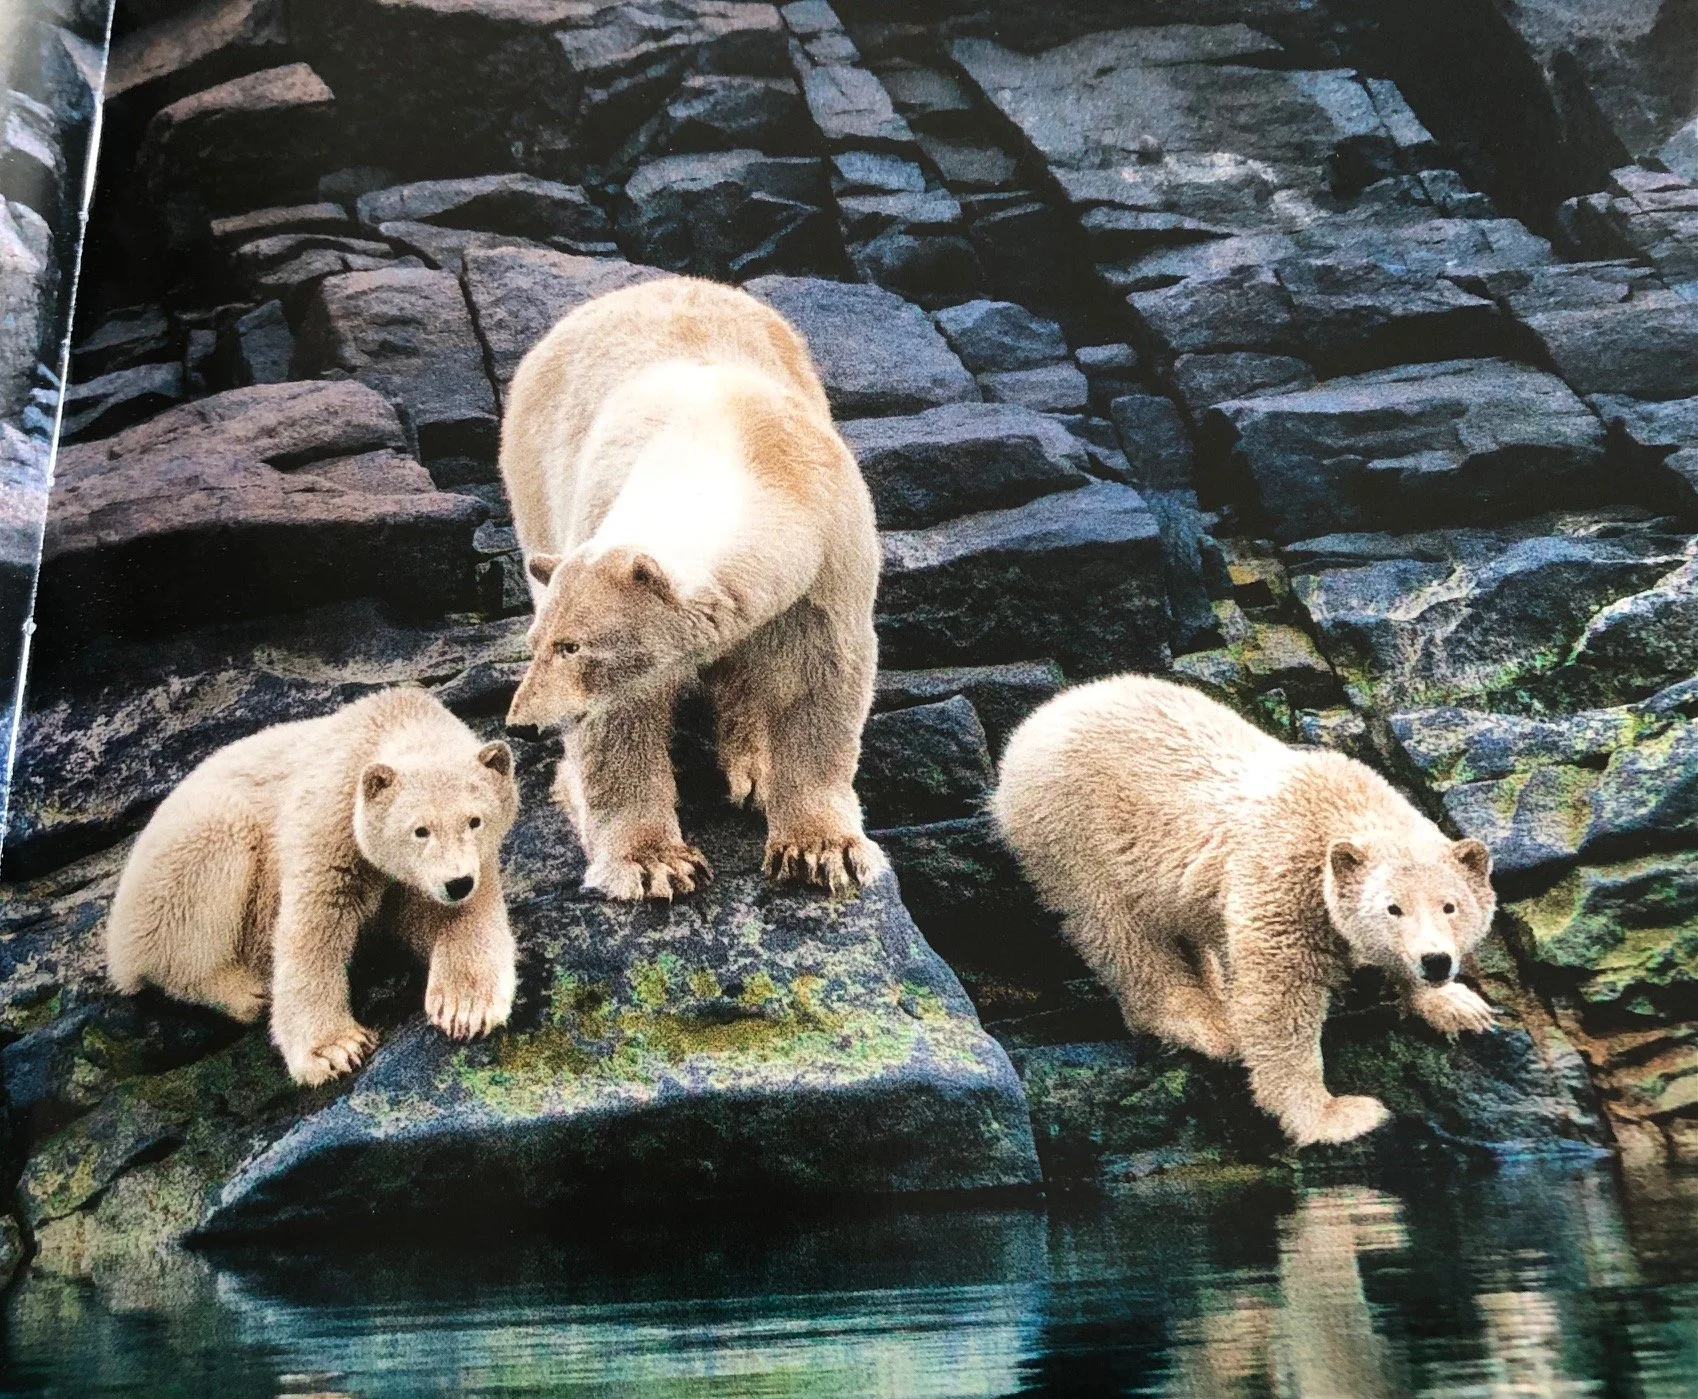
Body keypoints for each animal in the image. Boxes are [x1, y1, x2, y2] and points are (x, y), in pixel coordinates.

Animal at [105, 687, 520, 1086]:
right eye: (420, 830)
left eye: (474, 820)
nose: (457, 883)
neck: (385, 722)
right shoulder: (328, 823)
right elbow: (314, 927)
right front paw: (334, 1050)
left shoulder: (466, 866)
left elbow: (460, 919)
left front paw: (465, 1008)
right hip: (177, 858)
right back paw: (245, 990)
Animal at [501, 275, 885, 900]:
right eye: (538, 644)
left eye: (571, 646)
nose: (524, 725)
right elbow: (619, 718)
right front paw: (653, 861)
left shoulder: (829, 553)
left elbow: (820, 675)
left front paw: (823, 850)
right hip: (534, 478)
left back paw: (755, 767)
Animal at [990, 674, 1498, 1146]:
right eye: (1393, 908)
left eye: (1450, 906)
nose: (1436, 961)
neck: (1339, 807)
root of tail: (1040, 719)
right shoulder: (1284, 877)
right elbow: (1280, 998)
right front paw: (1335, 1115)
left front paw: (1460, 1006)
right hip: (1074, 832)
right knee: (1121, 932)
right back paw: (1207, 1023)